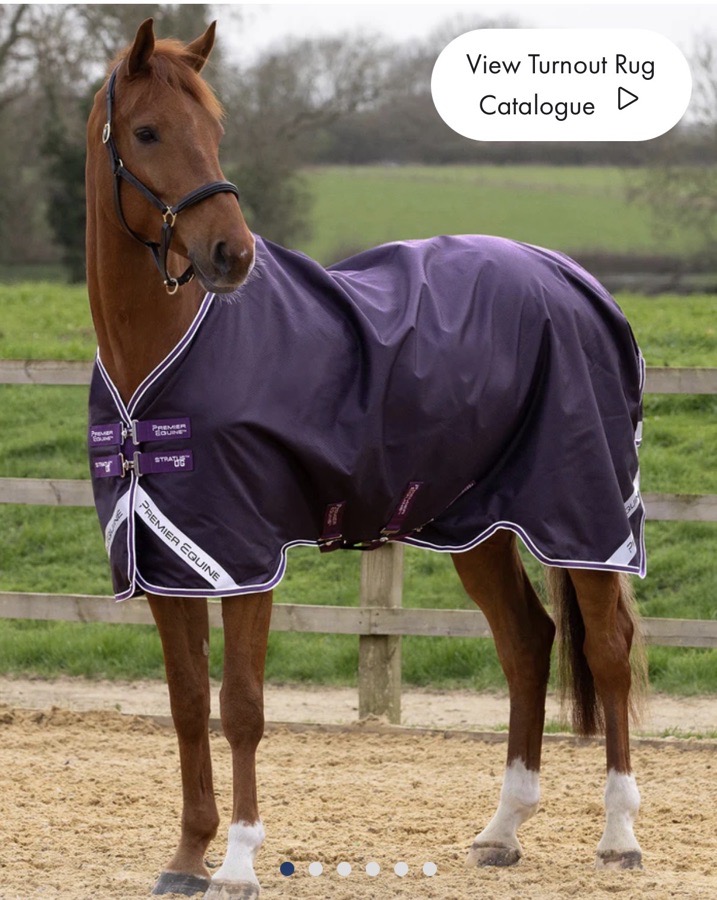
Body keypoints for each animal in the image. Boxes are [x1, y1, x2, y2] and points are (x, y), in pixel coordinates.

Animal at [85, 18, 648, 899]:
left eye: (213, 129)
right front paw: (185, 858)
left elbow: (240, 704)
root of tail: (571, 278)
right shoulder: (168, 559)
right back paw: (501, 830)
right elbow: (184, 702)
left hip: (584, 515)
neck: (159, 355)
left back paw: (619, 836)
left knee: (606, 651)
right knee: (527, 644)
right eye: (147, 132)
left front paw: (238, 862)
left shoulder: (243, 555)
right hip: (478, 524)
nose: (231, 253)